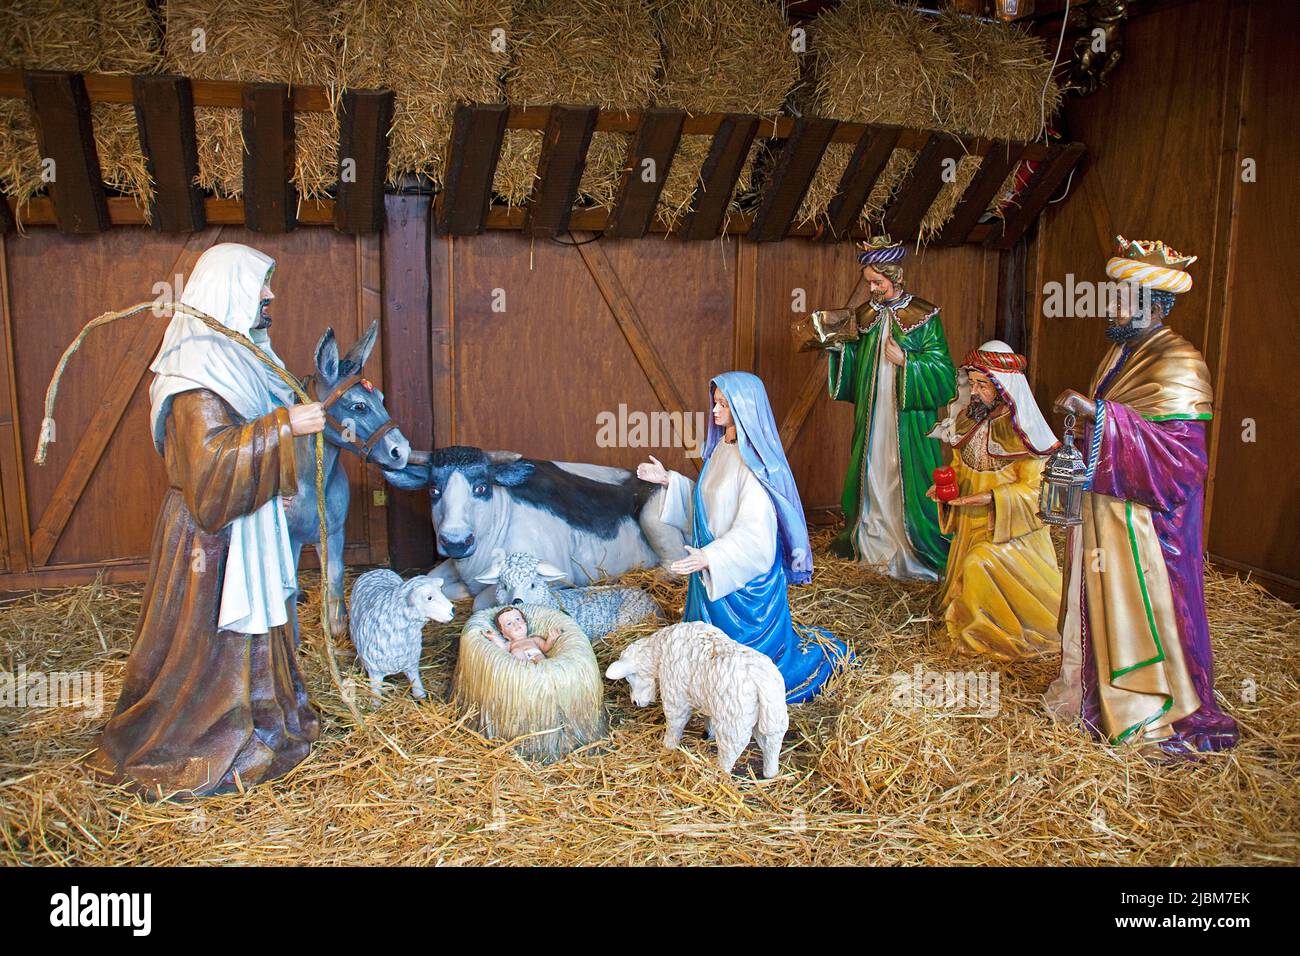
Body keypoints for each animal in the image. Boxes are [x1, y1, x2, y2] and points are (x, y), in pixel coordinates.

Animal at [382, 447, 691, 608]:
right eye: (433, 489)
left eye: (481, 487)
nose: (456, 541)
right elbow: (424, 580)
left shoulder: (555, 572)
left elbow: (483, 600)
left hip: (655, 517)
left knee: (672, 566)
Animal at [603, 621, 785, 780]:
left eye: (630, 678)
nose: (635, 702)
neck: (660, 652)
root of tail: (760, 679)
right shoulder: (709, 698)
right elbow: (708, 716)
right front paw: (708, 733)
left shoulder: (675, 695)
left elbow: (675, 722)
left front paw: (667, 746)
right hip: (771, 714)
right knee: (771, 742)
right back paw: (770, 773)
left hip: (734, 720)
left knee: (732, 749)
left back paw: (719, 772)